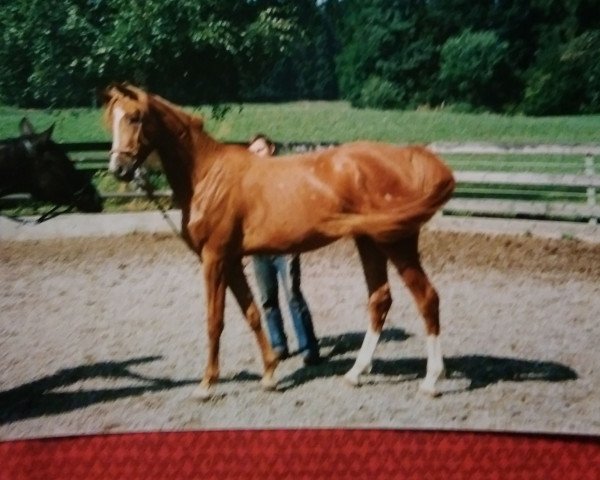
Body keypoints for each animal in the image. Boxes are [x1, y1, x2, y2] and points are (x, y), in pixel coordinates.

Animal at [103, 82, 454, 398]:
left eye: (134, 117)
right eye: (112, 119)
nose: (119, 169)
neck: (206, 175)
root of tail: (407, 156)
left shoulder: (214, 258)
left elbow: (214, 320)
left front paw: (206, 384)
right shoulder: (232, 260)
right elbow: (252, 313)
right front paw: (271, 373)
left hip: (397, 244)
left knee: (427, 298)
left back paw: (431, 381)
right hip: (369, 242)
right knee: (380, 300)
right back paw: (355, 373)